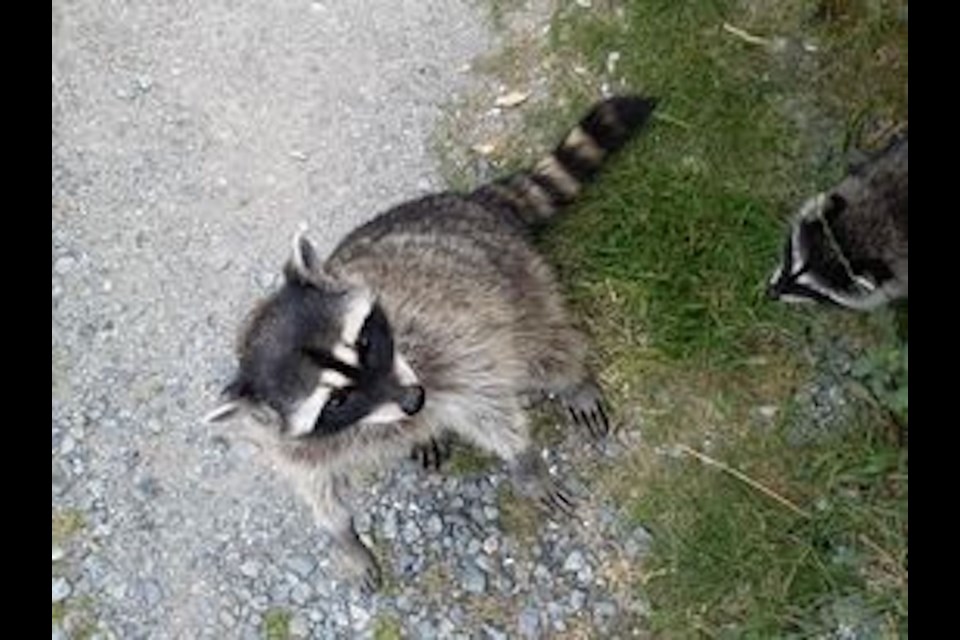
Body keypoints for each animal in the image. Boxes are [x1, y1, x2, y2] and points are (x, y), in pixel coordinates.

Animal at [205, 95, 656, 592]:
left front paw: (524, 462)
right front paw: (342, 535)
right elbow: (319, 484)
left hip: (514, 276)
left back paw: (571, 378)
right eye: (337, 400)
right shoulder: (296, 443)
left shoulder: (450, 346)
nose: (413, 400)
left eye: (365, 341)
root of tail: (469, 201)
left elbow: (490, 407)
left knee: (542, 344)